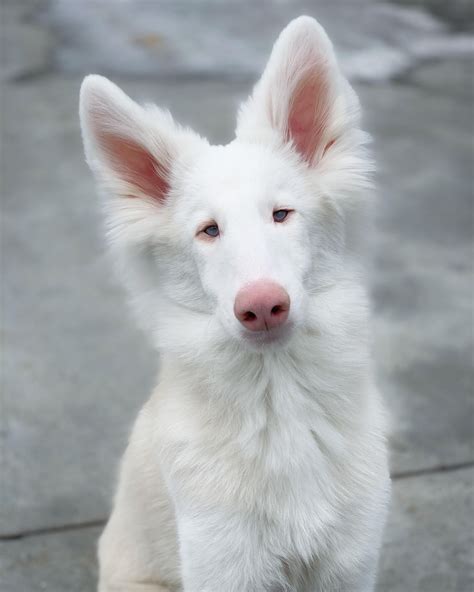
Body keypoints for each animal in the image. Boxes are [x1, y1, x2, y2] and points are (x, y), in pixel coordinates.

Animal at [78, 15, 388, 592]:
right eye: (209, 230)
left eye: (282, 214)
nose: (263, 307)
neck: (279, 405)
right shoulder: (224, 564)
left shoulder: (350, 563)